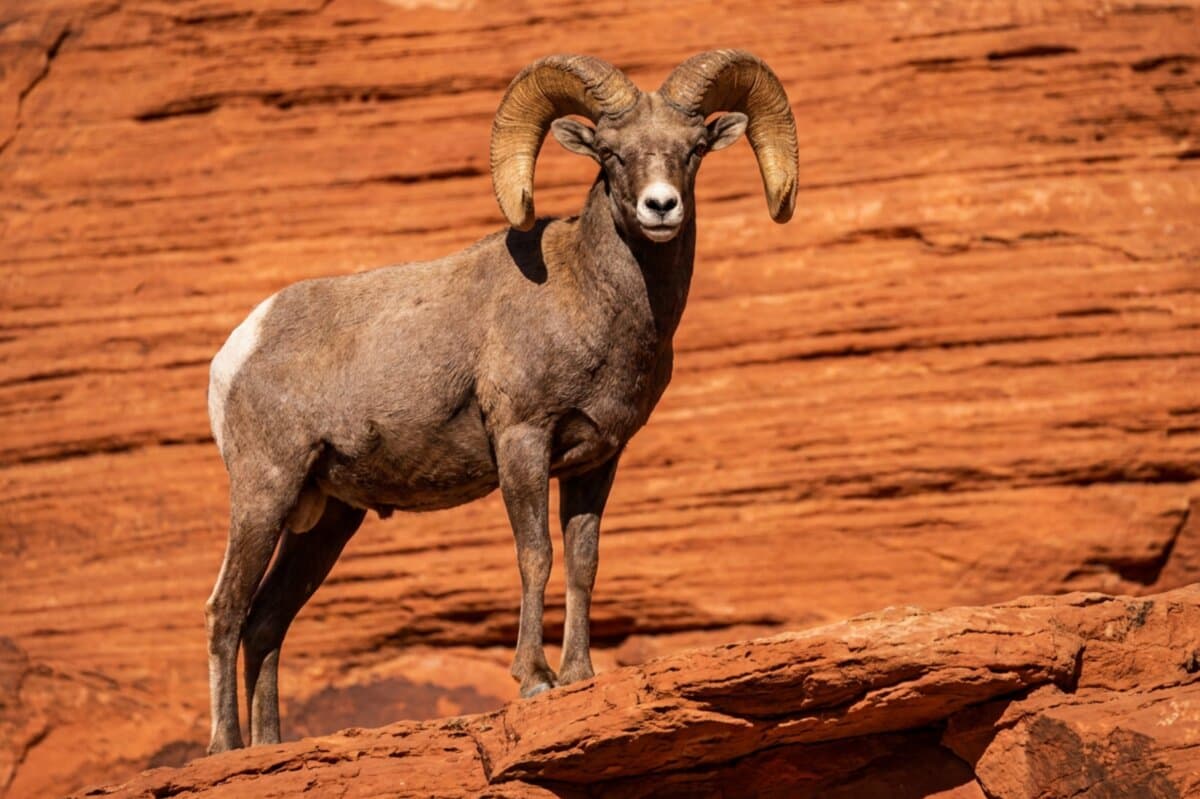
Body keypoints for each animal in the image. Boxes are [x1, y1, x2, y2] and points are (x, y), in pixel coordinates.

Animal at [204, 49, 798, 754]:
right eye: (611, 153)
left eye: (694, 149)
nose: (661, 207)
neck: (586, 299)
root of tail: (239, 348)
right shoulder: (521, 441)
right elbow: (535, 554)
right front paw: (535, 679)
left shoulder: (597, 461)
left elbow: (584, 562)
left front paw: (579, 674)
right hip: (265, 492)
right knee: (227, 611)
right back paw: (224, 747)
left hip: (327, 517)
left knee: (268, 619)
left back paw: (271, 746)